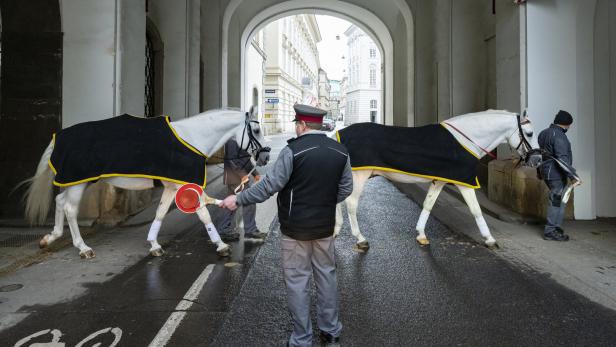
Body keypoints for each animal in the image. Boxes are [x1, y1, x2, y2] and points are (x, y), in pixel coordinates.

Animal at [22, 108, 268, 258]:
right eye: (256, 130)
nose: (265, 156)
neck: (192, 138)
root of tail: (59, 137)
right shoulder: (186, 187)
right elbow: (204, 214)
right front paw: (222, 246)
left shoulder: (172, 187)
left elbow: (160, 213)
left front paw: (154, 245)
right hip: (78, 183)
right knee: (70, 209)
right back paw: (83, 248)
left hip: (79, 182)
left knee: (60, 201)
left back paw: (50, 237)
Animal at [334, 110, 540, 249]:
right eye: (529, 133)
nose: (537, 159)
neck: (466, 139)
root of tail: (339, 135)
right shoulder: (463, 182)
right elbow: (475, 210)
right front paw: (489, 239)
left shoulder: (440, 180)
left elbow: (428, 204)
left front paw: (421, 234)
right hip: (359, 176)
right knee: (351, 204)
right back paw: (360, 239)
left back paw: (336, 230)